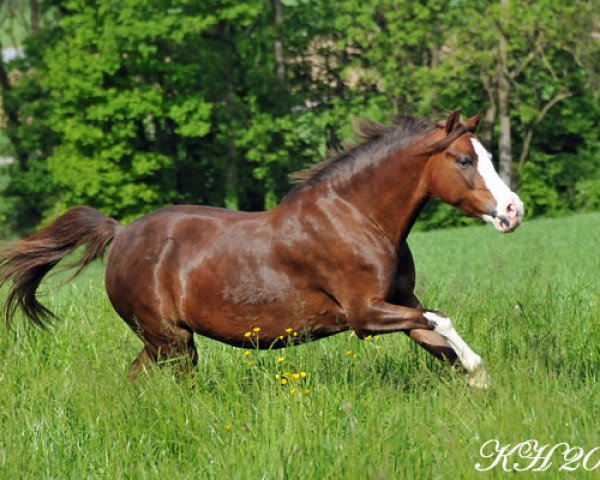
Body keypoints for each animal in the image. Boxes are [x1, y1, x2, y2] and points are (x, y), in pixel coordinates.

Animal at [0, 109, 524, 386]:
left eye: (487, 155)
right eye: (463, 160)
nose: (513, 210)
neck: (358, 218)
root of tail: (121, 233)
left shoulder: (399, 302)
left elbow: (436, 338)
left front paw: (478, 383)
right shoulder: (365, 314)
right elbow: (441, 320)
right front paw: (478, 369)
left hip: (165, 342)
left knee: (137, 377)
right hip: (169, 339)